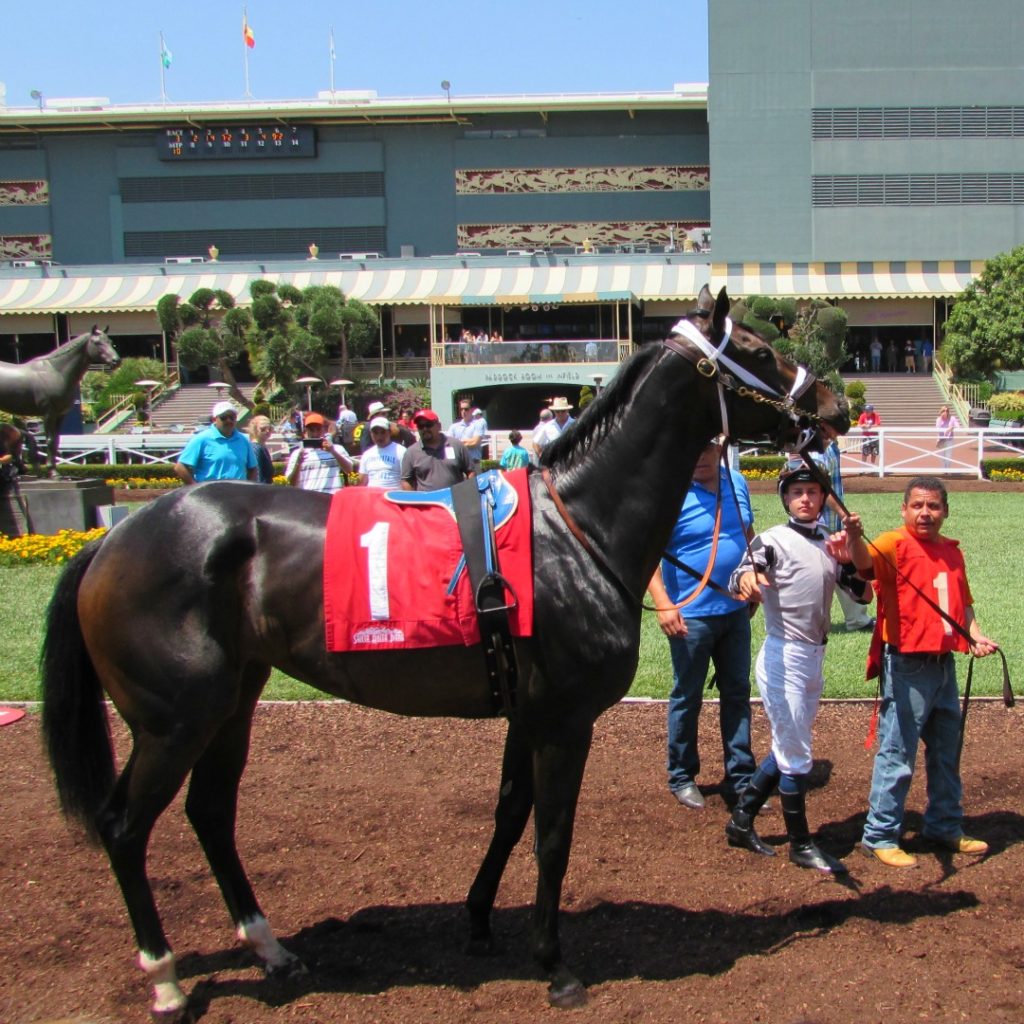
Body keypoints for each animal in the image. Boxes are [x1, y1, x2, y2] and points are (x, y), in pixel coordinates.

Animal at [0, 323, 118, 475]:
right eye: (97, 342)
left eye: (110, 341)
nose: (116, 361)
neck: (56, 371)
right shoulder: (49, 413)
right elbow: (49, 440)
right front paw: (53, 471)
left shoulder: (60, 414)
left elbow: (56, 441)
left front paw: (54, 470)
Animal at [39, 284, 847, 1019]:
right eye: (759, 352)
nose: (833, 404)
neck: (577, 529)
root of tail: (113, 538)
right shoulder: (565, 722)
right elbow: (552, 834)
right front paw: (553, 964)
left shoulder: (525, 713)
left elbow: (509, 813)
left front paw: (481, 918)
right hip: (172, 722)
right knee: (124, 827)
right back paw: (166, 979)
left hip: (232, 703)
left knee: (210, 813)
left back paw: (271, 949)